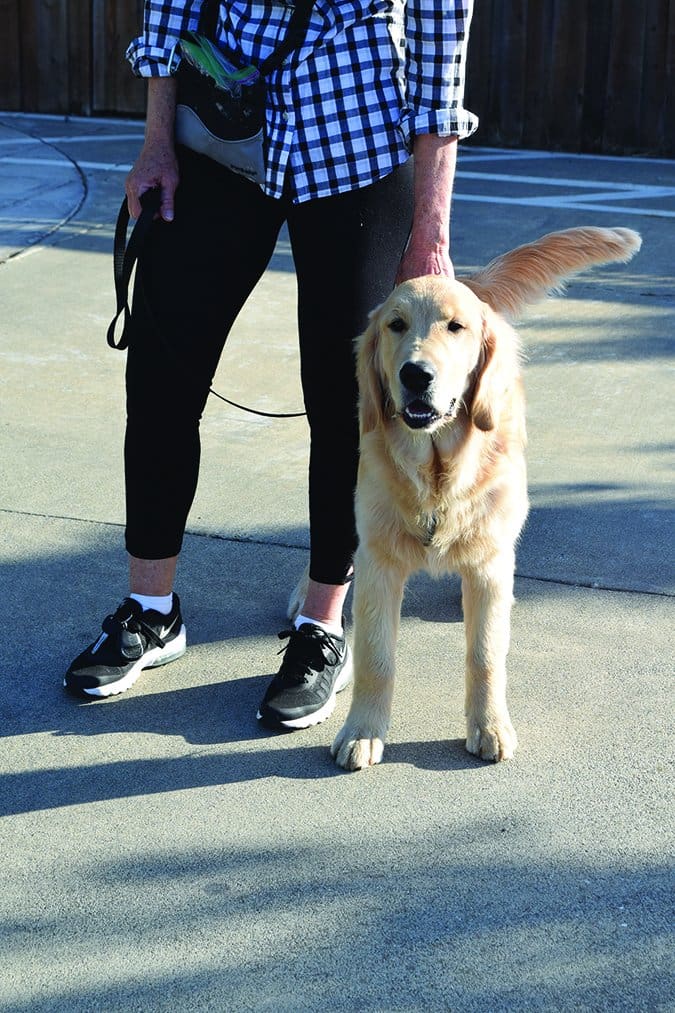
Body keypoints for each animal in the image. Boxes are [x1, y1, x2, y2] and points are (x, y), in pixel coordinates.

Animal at [326, 225, 640, 769]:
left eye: (455, 327)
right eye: (395, 325)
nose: (415, 374)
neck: (436, 473)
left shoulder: (489, 564)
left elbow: (486, 654)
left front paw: (489, 726)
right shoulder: (378, 562)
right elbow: (376, 657)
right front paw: (363, 731)